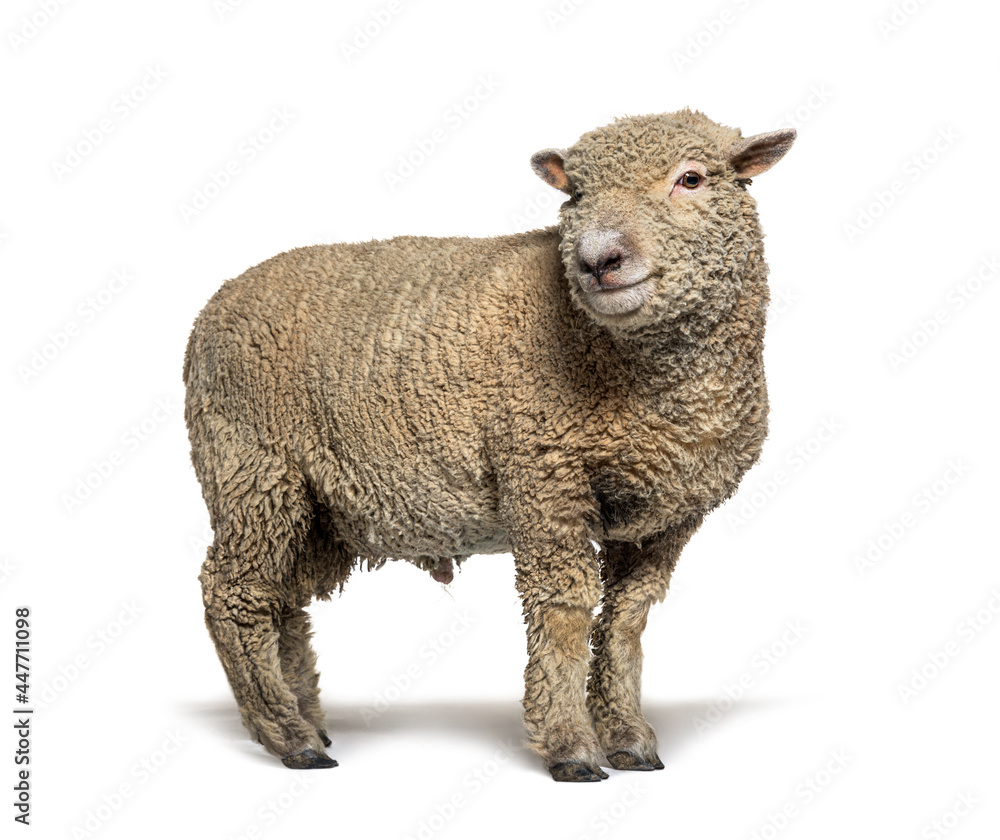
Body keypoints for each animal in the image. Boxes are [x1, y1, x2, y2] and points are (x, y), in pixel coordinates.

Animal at [184, 108, 795, 781]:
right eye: (575, 194)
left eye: (691, 179)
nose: (597, 259)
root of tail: (213, 308)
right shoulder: (542, 475)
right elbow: (564, 608)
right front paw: (571, 747)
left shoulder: (664, 518)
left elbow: (627, 618)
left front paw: (629, 739)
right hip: (252, 467)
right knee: (234, 592)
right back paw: (287, 734)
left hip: (317, 507)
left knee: (283, 604)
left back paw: (306, 721)